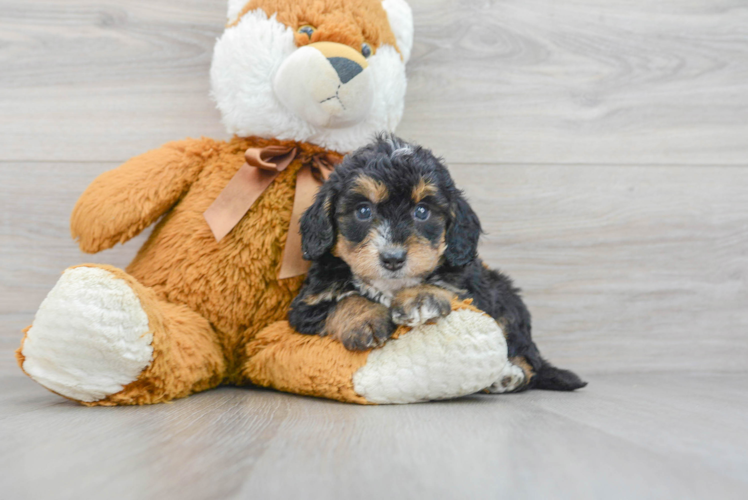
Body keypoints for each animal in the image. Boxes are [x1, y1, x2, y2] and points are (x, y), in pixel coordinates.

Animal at [290, 135, 588, 392]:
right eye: (363, 210)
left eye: (422, 211)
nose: (393, 258)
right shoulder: (306, 305)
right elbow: (344, 301)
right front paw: (365, 319)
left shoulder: (471, 290)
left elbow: (447, 287)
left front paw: (420, 298)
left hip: (505, 300)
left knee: (528, 355)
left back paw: (508, 375)